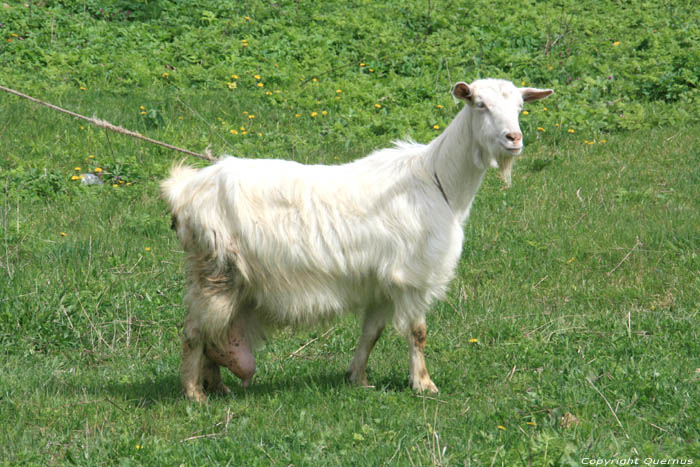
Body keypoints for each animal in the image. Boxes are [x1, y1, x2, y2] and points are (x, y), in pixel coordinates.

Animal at [161, 78, 548, 400]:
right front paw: (423, 384)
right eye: (479, 103)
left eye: (520, 106)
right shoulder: (412, 275)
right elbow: (418, 332)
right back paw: (194, 395)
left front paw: (358, 379)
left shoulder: (380, 281)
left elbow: (371, 332)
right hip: (215, 271)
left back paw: (217, 387)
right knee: (194, 332)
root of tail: (184, 191)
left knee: (215, 333)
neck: (439, 181)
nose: (514, 139)